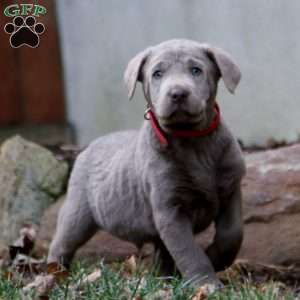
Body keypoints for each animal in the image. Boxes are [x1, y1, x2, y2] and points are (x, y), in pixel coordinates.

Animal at [48, 38, 246, 290]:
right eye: (157, 74)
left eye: (196, 70)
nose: (178, 93)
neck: (193, 141)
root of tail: (88, 146)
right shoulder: (169, 210)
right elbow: (188, 251)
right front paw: (206, 283)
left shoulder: (230, 190)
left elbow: (232, 234)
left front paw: (214, 258)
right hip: (78, 210)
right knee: (62, 242)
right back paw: (53, 274)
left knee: (163, 253)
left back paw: (164, 281)